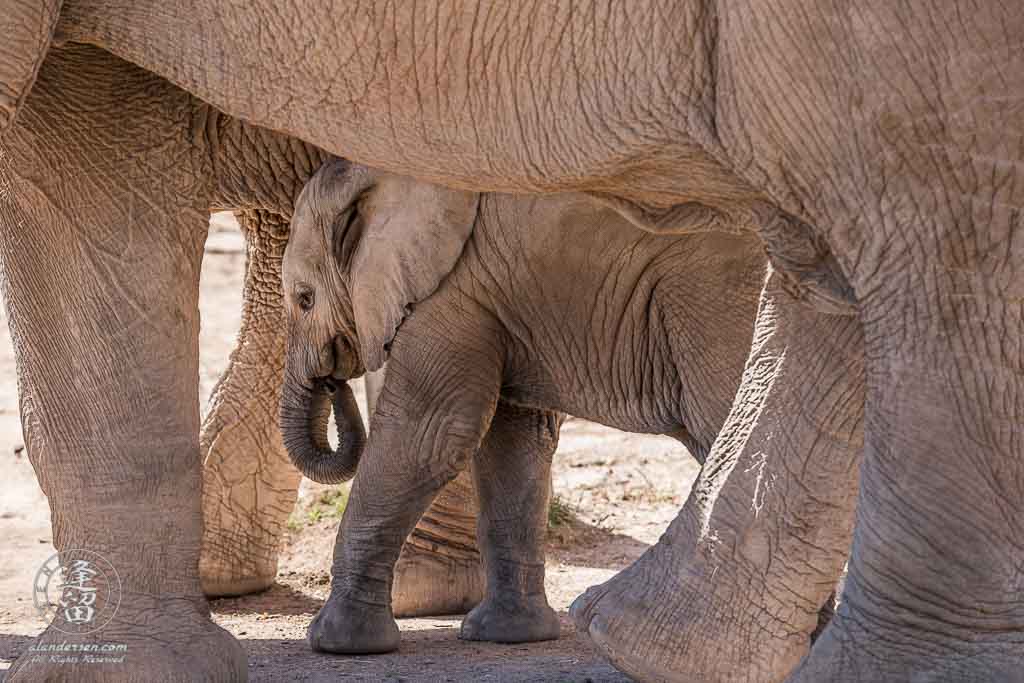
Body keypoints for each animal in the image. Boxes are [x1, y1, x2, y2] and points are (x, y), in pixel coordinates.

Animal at [276, 157, 765, 655]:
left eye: (304, 298)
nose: (332, 379)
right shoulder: (500, 300)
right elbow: (511, 442)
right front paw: (507, 635)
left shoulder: (451, 292)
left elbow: (426, 435)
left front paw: (335, 642)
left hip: (718, 304)